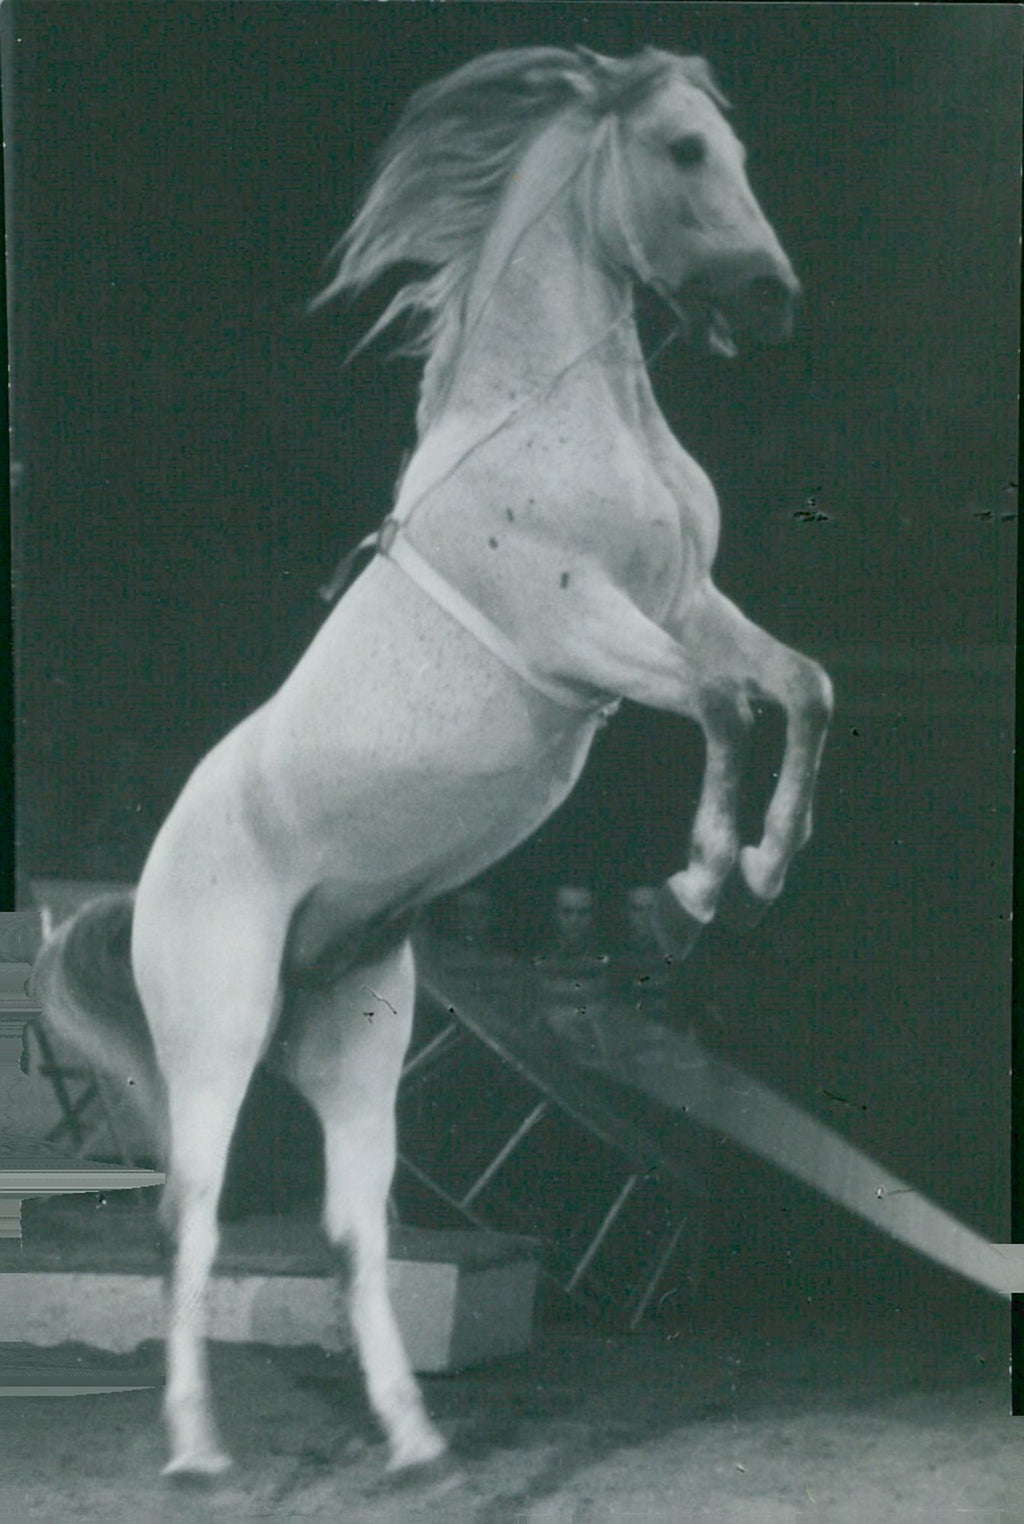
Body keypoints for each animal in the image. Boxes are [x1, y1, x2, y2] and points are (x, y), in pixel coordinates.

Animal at [31, 45, 832, 1483]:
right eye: (683, 150)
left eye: (730, 147)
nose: (770, 296)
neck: (553, 410)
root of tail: (146, 882)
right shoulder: (586, 631)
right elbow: (727, 710)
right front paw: (686, 893)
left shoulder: (686, 604)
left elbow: (798, 691)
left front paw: (758, 873)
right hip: (216, 1032)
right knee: (191, 1223)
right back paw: (197, 1452)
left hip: (355, 1047)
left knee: (352, 1231)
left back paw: (415, 1444)